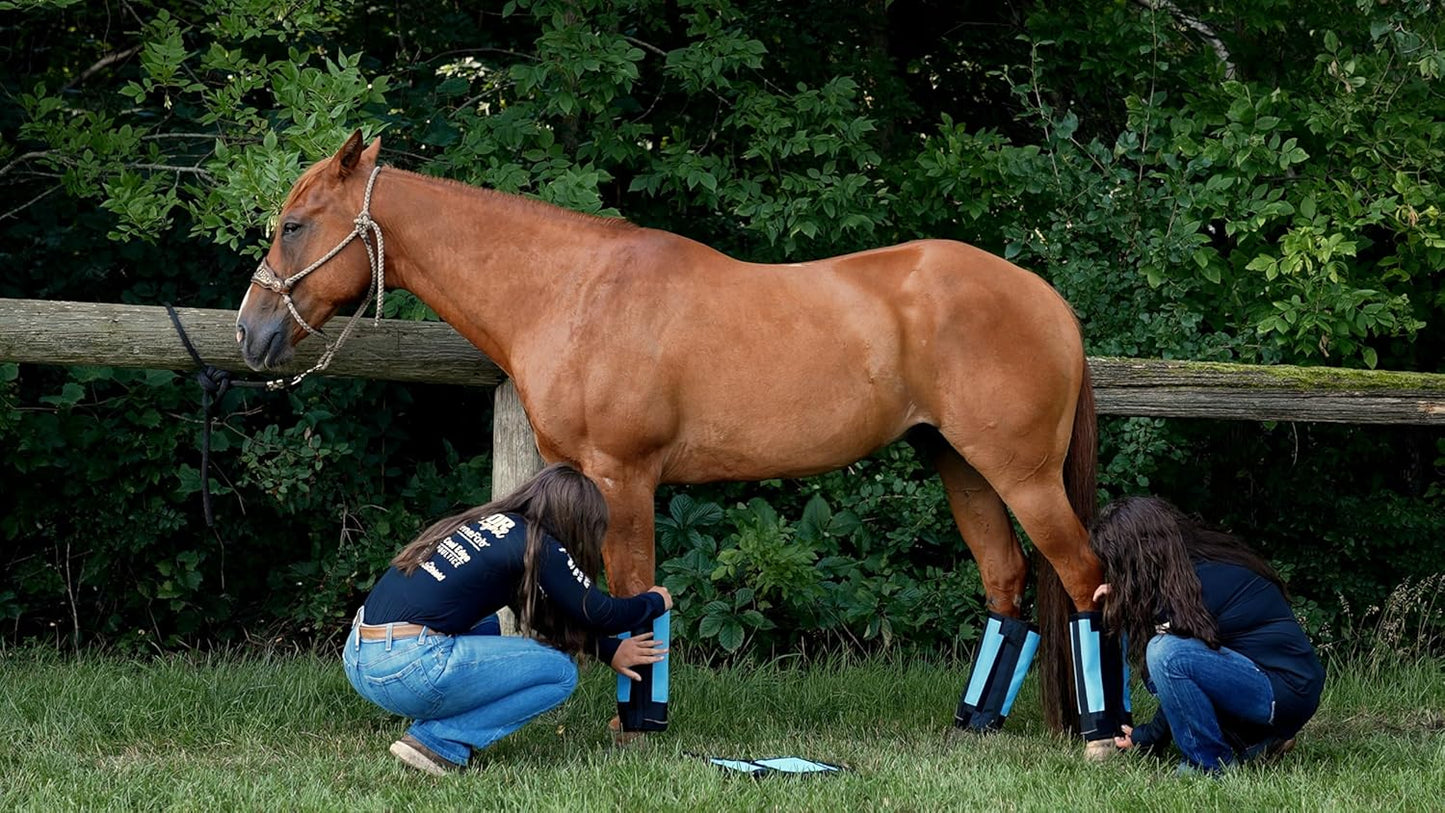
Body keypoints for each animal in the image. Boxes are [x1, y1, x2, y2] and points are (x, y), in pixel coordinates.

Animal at [235, 132, 1125, 757]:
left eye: (294, 224)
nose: (251, 332)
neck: (572, 290)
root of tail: (1047, 300)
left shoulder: (623, 478)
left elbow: (639, 593)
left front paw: (638, 727)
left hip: (1021, 474)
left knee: (1085, 579)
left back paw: (1103, 736)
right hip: (960, 466)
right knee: (1007, 586)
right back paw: (972, 725)